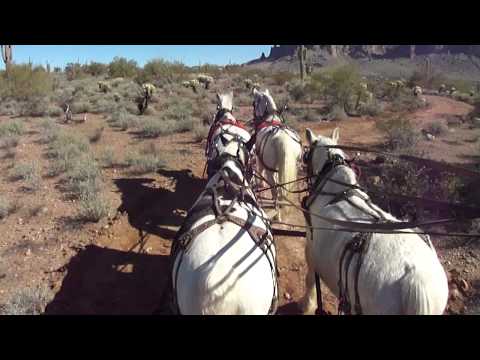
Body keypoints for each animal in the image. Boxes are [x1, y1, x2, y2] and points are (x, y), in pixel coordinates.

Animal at [253, 88, 302, 221]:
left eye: (254, 103)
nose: (254, 118)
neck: (270, 119)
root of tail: (283, 138)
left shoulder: (260, 161)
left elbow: (261, 176)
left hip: (270, 169)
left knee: (275, 190)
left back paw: (277, 213)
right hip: (293, 167)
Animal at [300, 127, 450, 316]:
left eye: (306, 156)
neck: (336, 189)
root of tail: (416, 279)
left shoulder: (310, 249)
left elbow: (310, 279)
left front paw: (306, 305)